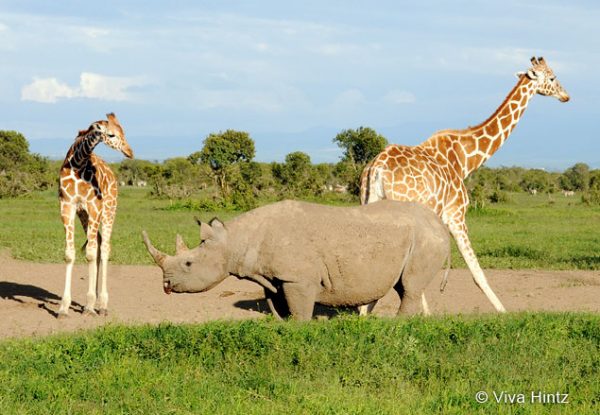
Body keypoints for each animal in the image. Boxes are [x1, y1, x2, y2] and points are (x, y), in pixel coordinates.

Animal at [57, 112, 134, 316]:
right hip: (84, 215)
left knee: (105, 248)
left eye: (123, 132)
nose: (130, 152)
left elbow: (90, 254)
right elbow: (70, 254)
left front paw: (90, 305)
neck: (78, 163)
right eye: (112, 135)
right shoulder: (67, 206)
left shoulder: (94, 206)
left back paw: (102, 304)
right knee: (98, 243)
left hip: (108, 209)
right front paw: (63, 307)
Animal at [358, 57, 568, 314]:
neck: (466, 159)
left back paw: (363, 313)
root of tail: (376, 168)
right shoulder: (456, 215)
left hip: (369, 204)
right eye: (552, 78)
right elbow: (477, 272)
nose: (566, 95)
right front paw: (503, 313)